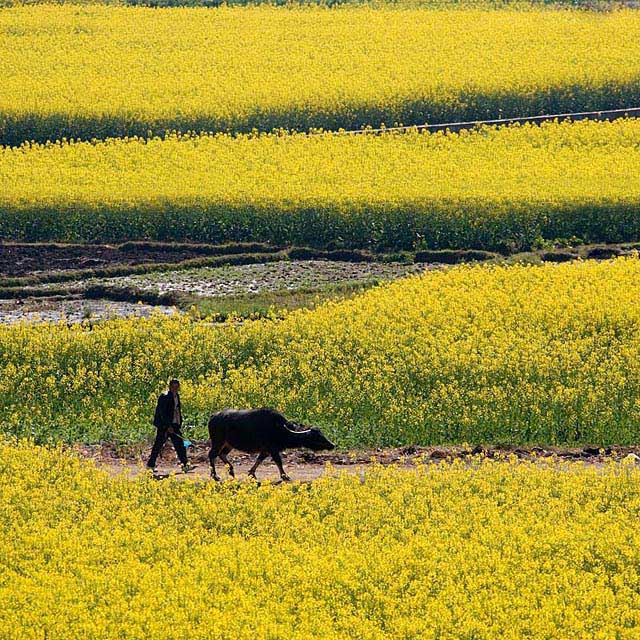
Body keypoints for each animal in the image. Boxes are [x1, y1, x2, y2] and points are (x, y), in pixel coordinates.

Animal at [209, 410, 338, 480]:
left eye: (321, 433)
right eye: (316, 436)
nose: (332, 445)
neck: (280, 429)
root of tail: (213, 417)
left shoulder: (266, 450)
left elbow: (259, 460)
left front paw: (251, 473)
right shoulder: (272, 449)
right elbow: (278, 462)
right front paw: (285, 476)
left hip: (228, 445)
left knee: (221, 454)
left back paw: (231, 471)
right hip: (218, 442)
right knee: (212, 454)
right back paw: (215, 476)